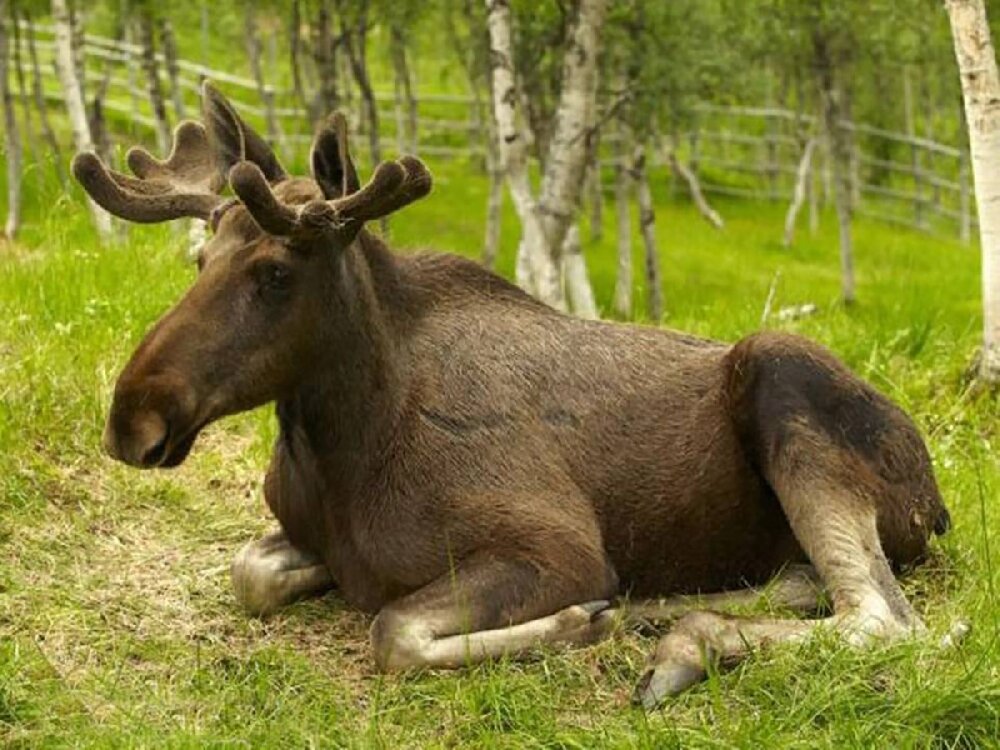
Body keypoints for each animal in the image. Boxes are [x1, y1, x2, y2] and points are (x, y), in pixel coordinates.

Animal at [76, 83, 952, 712]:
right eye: (200, 260)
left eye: (275, 273)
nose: (132, 417)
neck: (341, 441)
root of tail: (938, 502)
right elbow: (250, 575)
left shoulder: (557, 547)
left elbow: (392, 631)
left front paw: (573, 622)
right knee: (819, 586)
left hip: (781, 368)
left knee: (892, 623)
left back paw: (680, 642)